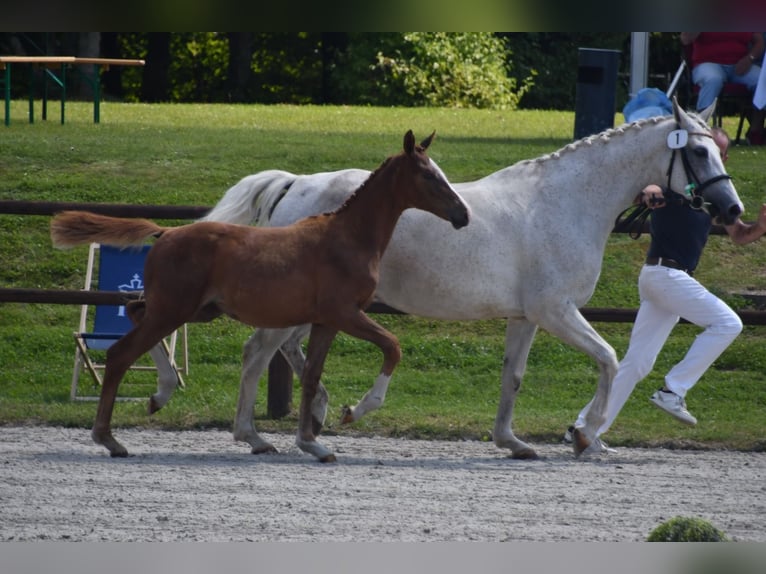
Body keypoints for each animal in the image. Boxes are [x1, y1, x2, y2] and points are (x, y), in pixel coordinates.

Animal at [152, 98, 744, 460]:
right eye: (697, 151)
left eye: (719, 149)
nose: (733, 209)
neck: (563, 202)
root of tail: (294, 183)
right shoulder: (557, 312)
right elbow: (610, 358)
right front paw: (584, 435)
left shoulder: (526, 318)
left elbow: (513, 378)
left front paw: (513, 442)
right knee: (258, 353)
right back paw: (257, 434)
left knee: (284, 353)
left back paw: (310, 414)